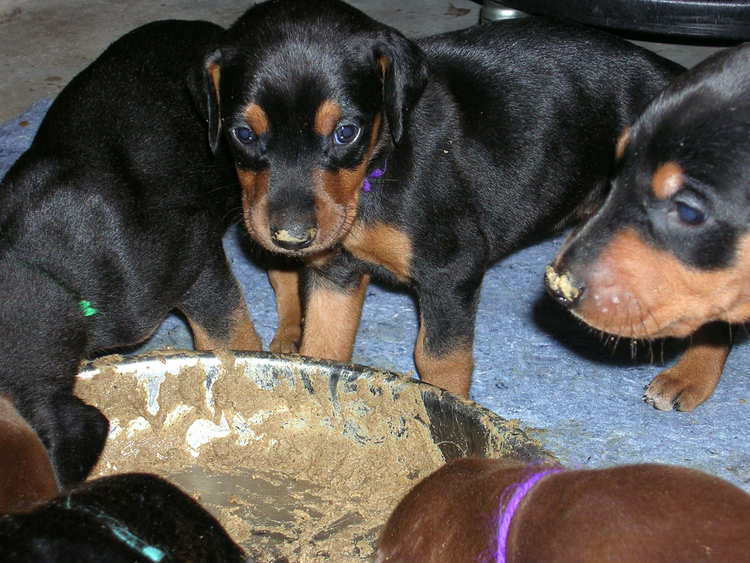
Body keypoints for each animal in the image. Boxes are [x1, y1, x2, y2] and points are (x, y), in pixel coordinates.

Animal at [197, 0, 684, 396]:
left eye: (346, 132)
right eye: (243, 134)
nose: (291, 238)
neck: (379, 168)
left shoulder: (451, 270)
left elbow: (438, 359)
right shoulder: (335, 272)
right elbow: (323, 346)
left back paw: (684, 381)